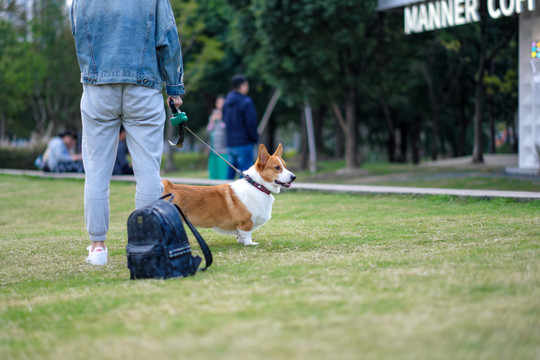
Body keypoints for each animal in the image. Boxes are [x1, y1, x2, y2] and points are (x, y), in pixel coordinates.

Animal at [161, 143, 296, 245]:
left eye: (285, 166)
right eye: (277, 167)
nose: (294, 177)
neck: (256, 185)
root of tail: (168, 185)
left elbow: (240, 235)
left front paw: (241, 241)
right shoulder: (246, 222)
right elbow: (247, 234)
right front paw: (250, 243)